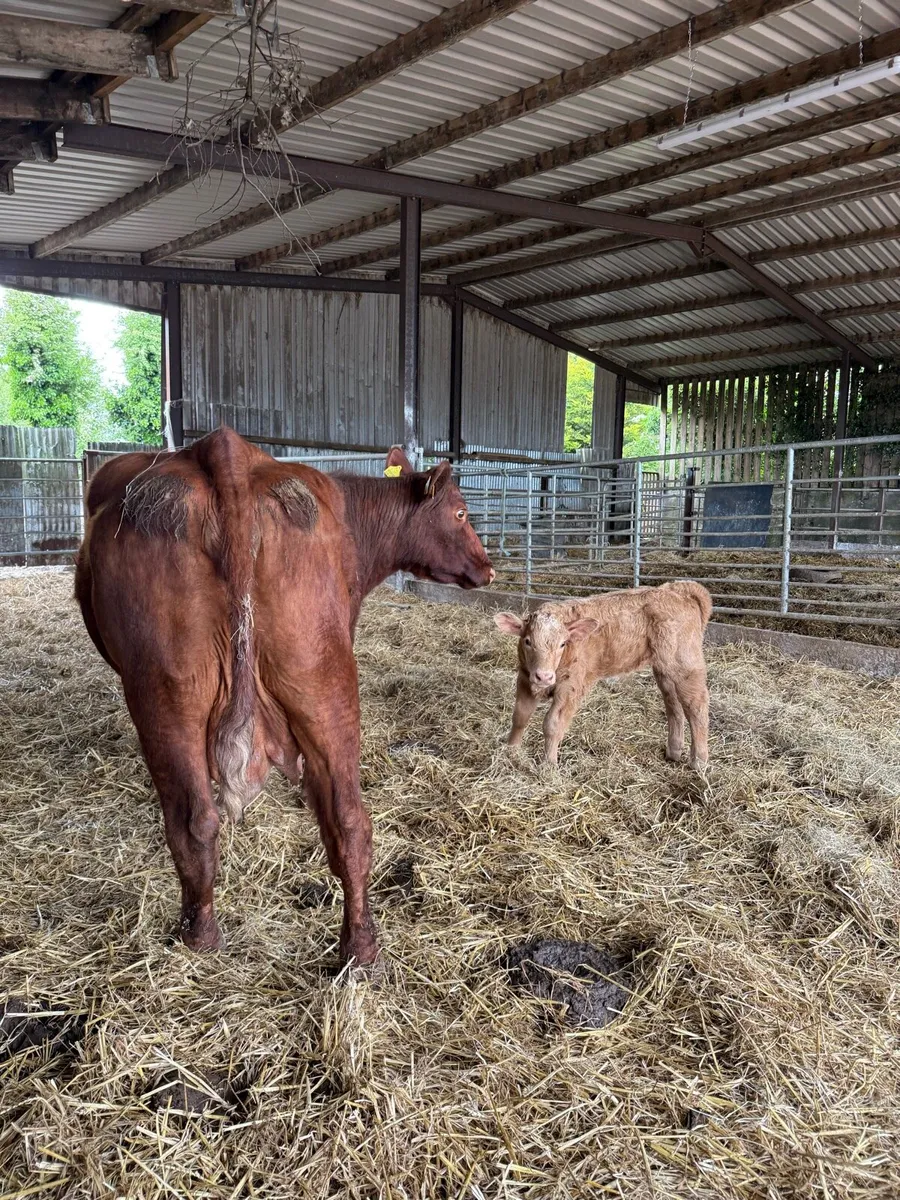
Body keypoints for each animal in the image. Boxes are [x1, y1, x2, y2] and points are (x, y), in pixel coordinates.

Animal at [75, 427, 493, 968]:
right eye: (461, 513)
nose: (487, 569)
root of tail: (225, 453)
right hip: (307, 684)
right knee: (336, 821)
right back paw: (355, 949)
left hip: (175, 691)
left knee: (202, 820)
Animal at [493, 581, 712, 770]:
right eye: (527, 641)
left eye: (563, 643)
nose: (544, 677)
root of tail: (677, 590)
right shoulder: (524, 678)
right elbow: (520, 716)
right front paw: (510, 752)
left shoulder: (571, 687)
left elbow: (552, 724)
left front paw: (548, 764)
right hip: (664, 670)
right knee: (673, 703)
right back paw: (673, 752)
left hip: (685, 664)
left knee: (696, 705)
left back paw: (699, 762)